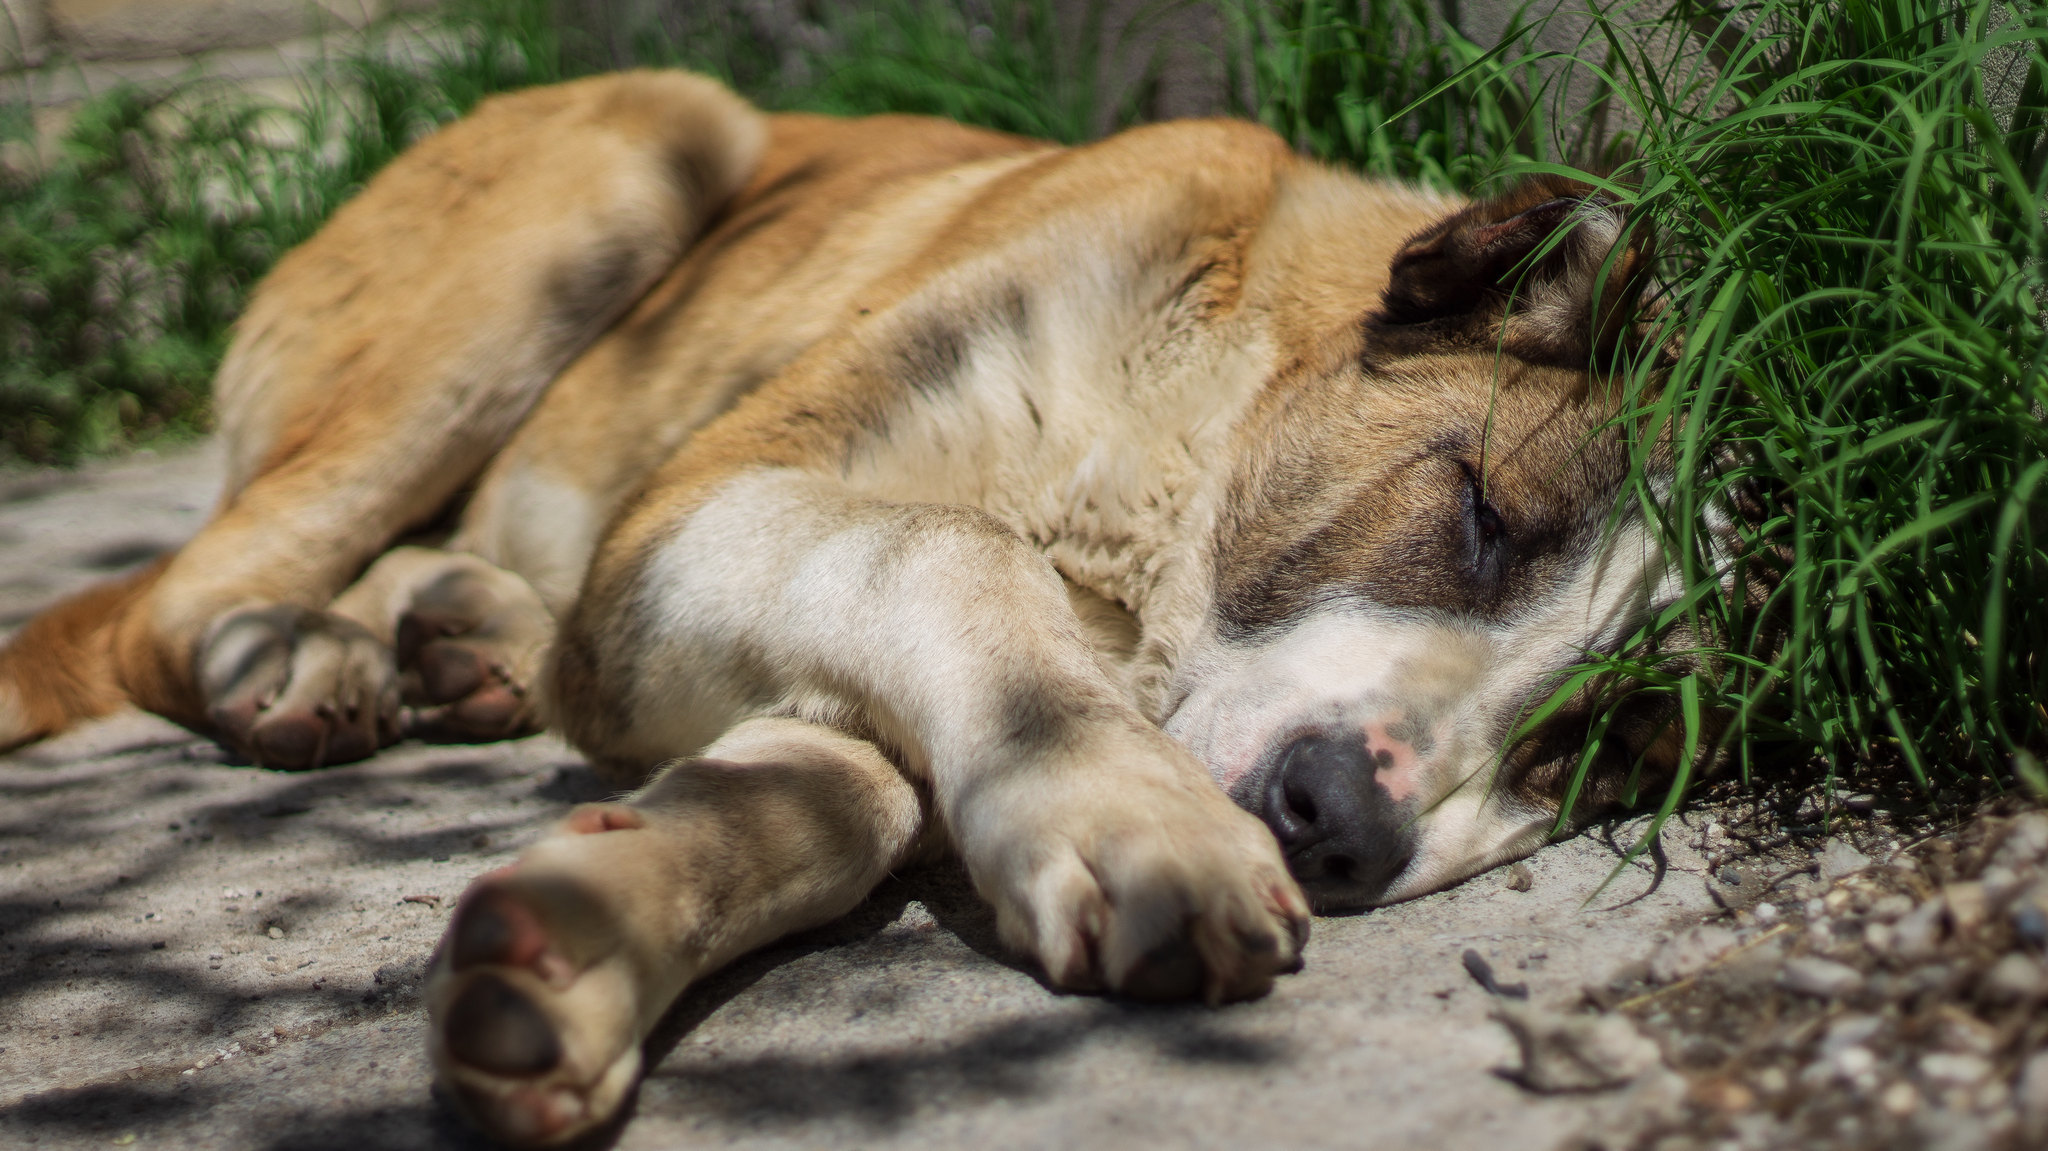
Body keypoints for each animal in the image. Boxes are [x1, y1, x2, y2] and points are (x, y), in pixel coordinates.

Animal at [0, 71, 1679, 1138]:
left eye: (1610, 749)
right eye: (1478, 512)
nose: (1339, 819)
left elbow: (840, 786)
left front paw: (589, 934)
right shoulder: (702, 506)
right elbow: (949, 550)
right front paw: (1124, 808)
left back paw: (461, 631)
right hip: (647, 148)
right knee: (171, 594)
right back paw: (291, 647)